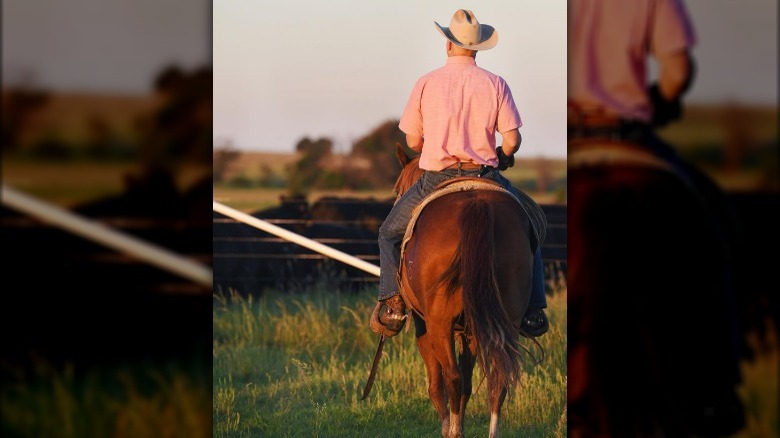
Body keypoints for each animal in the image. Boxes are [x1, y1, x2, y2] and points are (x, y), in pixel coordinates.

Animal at [394, 145, 540, 438]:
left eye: (397, 189)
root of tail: (477, 205)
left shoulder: (424, 326)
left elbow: (438, 384)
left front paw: (449, 427)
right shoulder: (471, 330)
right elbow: (469, 382)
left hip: (439, 324)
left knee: (451, 377)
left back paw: (453, 431)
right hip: (505, 320)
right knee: (497, 379)